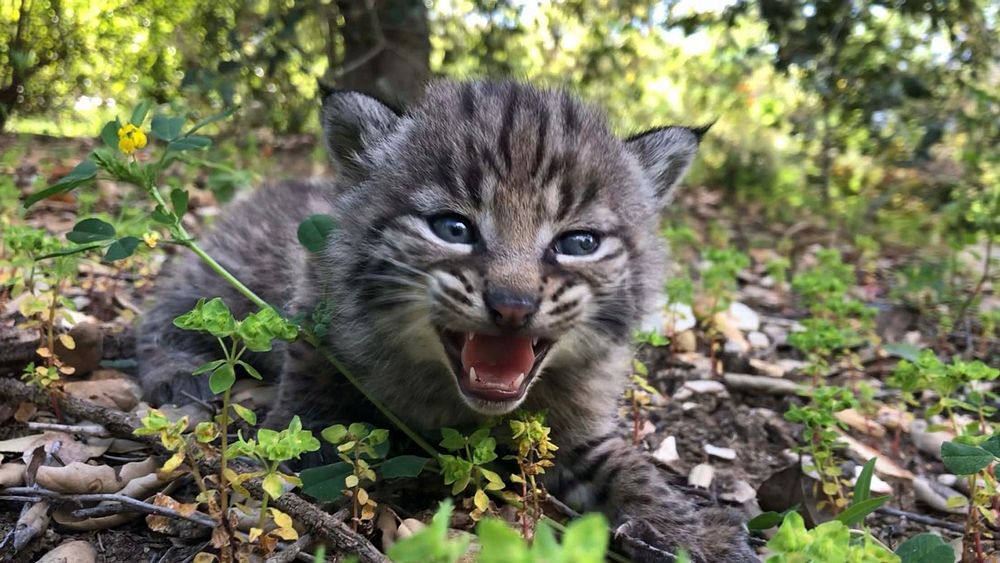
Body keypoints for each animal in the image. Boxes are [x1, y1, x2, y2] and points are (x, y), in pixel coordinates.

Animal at [137, 81, 752, 560]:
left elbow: (629, 466)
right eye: (453, 229)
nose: (513, 304)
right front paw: (298, 460)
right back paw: (177, 371)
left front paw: (694, 532)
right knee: (159, 315)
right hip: (221, 278)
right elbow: (312, 398)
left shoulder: (576, 426)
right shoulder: (316, 313)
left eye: (579, 243)